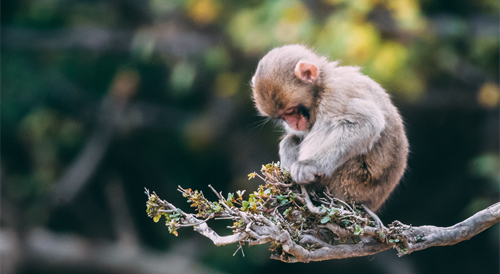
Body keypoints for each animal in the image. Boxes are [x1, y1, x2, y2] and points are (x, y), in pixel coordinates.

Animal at [252, 45, 408, 212]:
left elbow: (367, 122)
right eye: (282, 117)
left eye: (291, 111)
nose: (292, 124)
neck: (322, 86)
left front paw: (310, 165)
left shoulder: (335, 97)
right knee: (293, 138)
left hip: (352, 181)